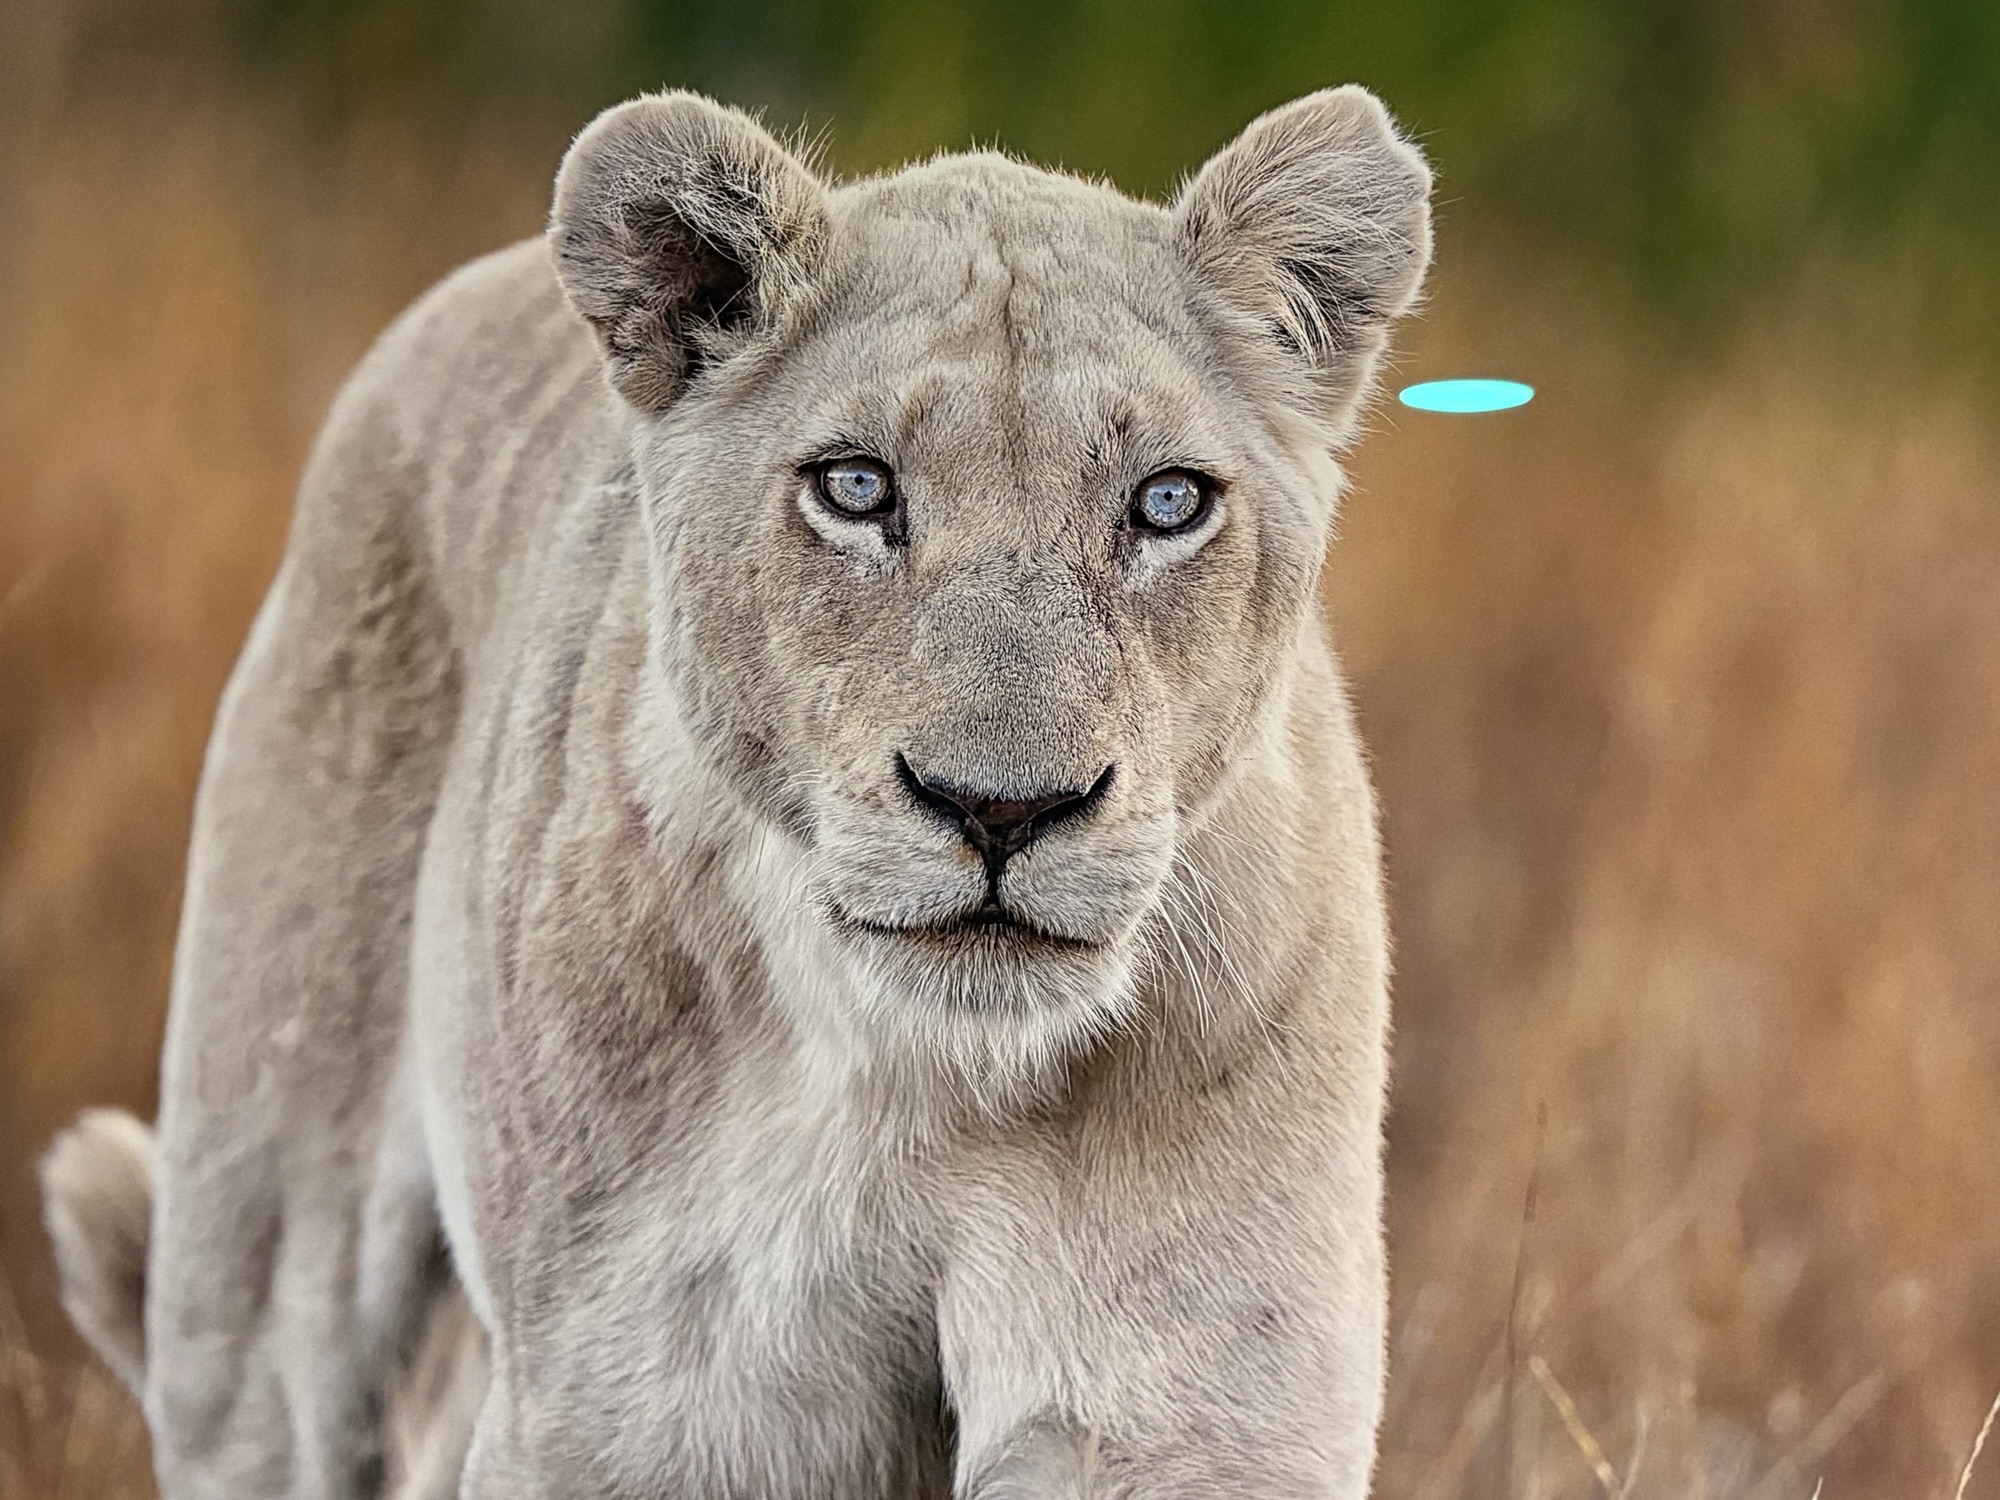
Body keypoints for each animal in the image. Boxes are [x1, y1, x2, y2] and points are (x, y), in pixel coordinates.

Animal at [41, 86, 1431, 1499]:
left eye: (1165, 502)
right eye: (857, 488)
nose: (1000, 809)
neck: (925, 1085)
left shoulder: (1183, 1405)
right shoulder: (638, 1411)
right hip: (269, 1301)